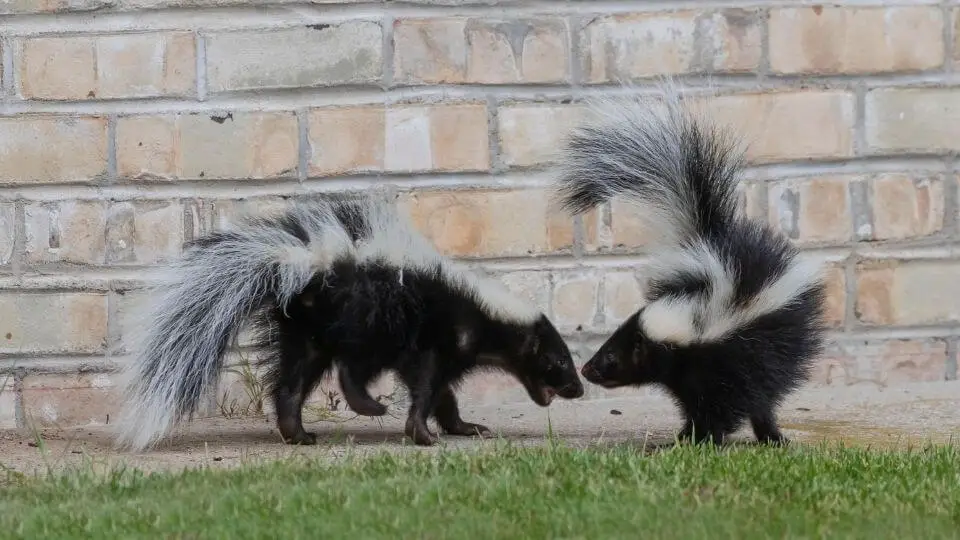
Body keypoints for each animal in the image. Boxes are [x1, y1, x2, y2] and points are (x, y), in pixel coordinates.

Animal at [109, 192, 580, 450]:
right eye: (558, 361)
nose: (577, 388)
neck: (482, 311)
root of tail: (308, 264)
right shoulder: (436, 339)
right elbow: (428, 387)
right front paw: (422, 434)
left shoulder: (442, 351)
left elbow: (443, 393)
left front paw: (465, 427)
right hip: (367, 319)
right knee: (350, 371)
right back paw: (370, 406)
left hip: (307, 331)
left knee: (293, 381)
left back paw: (297, 434)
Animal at [552, 87, 828, 442]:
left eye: (612, 355)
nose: (586, 369)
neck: (696, 326)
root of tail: (709, 239)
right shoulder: (689, 375)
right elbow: (699, 401)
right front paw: (688, 434)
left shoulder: (729, 362)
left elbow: (727, 404)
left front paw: (702, 437)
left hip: (784, 342)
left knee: (766, 393)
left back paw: (770, 436)